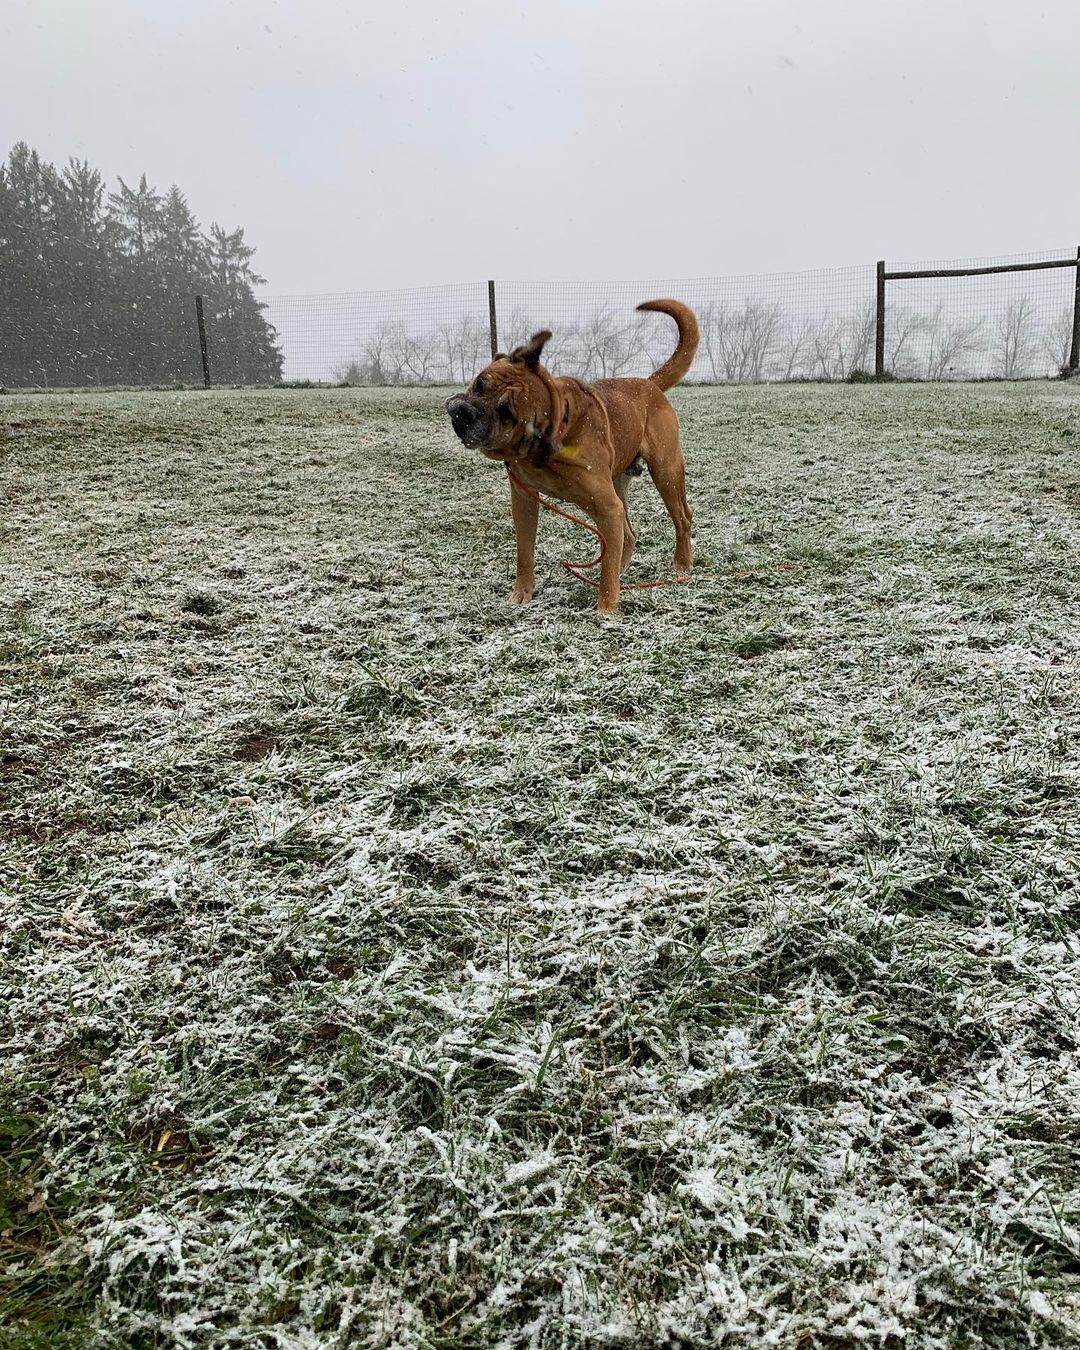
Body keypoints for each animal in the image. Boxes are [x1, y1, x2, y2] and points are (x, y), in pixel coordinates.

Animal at [448, 301, 702, 612]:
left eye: (506, 412)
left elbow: (606, 570)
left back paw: (682, 565)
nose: (463, 412)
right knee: (628, 535)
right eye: (480, 383)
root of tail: (649, 383)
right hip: (618, 485)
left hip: (665, 472)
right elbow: (525, 550)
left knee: (682, 518)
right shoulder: (524, 499)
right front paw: (522, 592)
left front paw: (606, 611)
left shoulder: (607, 507)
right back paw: (623, 569)